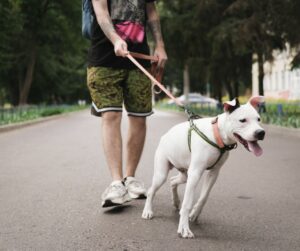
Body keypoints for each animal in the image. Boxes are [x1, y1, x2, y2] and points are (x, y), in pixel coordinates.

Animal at [142, 97, 264, 238]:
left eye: (259, 119)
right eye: (243, 120)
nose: (261, 133)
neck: (217, 134)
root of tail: (165, 135)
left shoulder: (214, 173)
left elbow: (204, 196)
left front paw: (195, 213)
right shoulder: (195, 173)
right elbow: (187, 203)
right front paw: (184, 228)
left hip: (185, 174)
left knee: (173, 181)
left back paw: (176, 201)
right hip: (162, 174)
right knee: (152, 190)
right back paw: (148, 211)